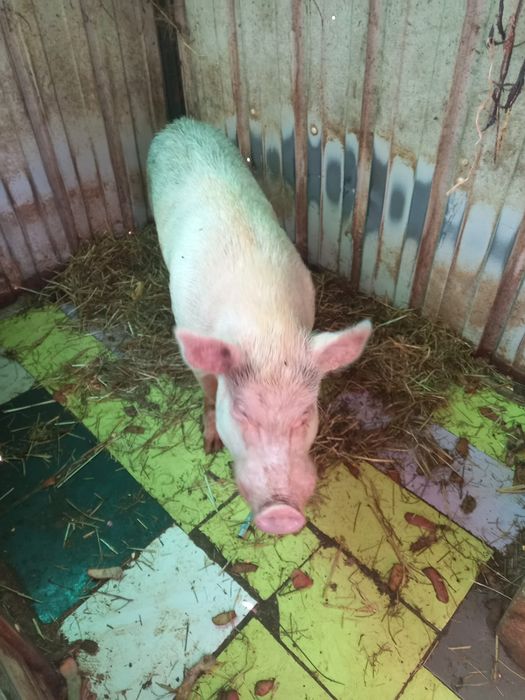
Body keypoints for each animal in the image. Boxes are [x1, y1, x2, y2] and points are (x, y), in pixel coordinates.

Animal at [147, 117, 371, 536]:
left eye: (305, 414)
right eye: (241, 414)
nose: (281, 512)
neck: (266, 328)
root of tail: (180, 123)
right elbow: (207, 391)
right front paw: (210, 446)